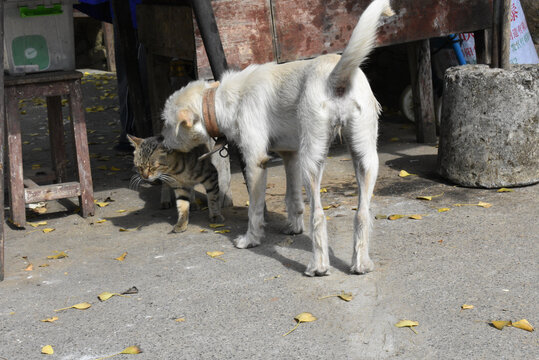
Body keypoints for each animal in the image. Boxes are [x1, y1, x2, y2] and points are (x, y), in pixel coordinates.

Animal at [162, 0, 394, 276]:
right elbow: (292, 198)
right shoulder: (290, 156)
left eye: (166, 125)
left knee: (319, 215)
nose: (162, 144)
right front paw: (293, 227)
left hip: (312, 163)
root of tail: (334, 74)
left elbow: (254, 209)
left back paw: (318, 265)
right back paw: (361, 263)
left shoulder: (255, 162)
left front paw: (250, 239)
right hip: (365, 159)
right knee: (362, 213)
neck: (220, 100)